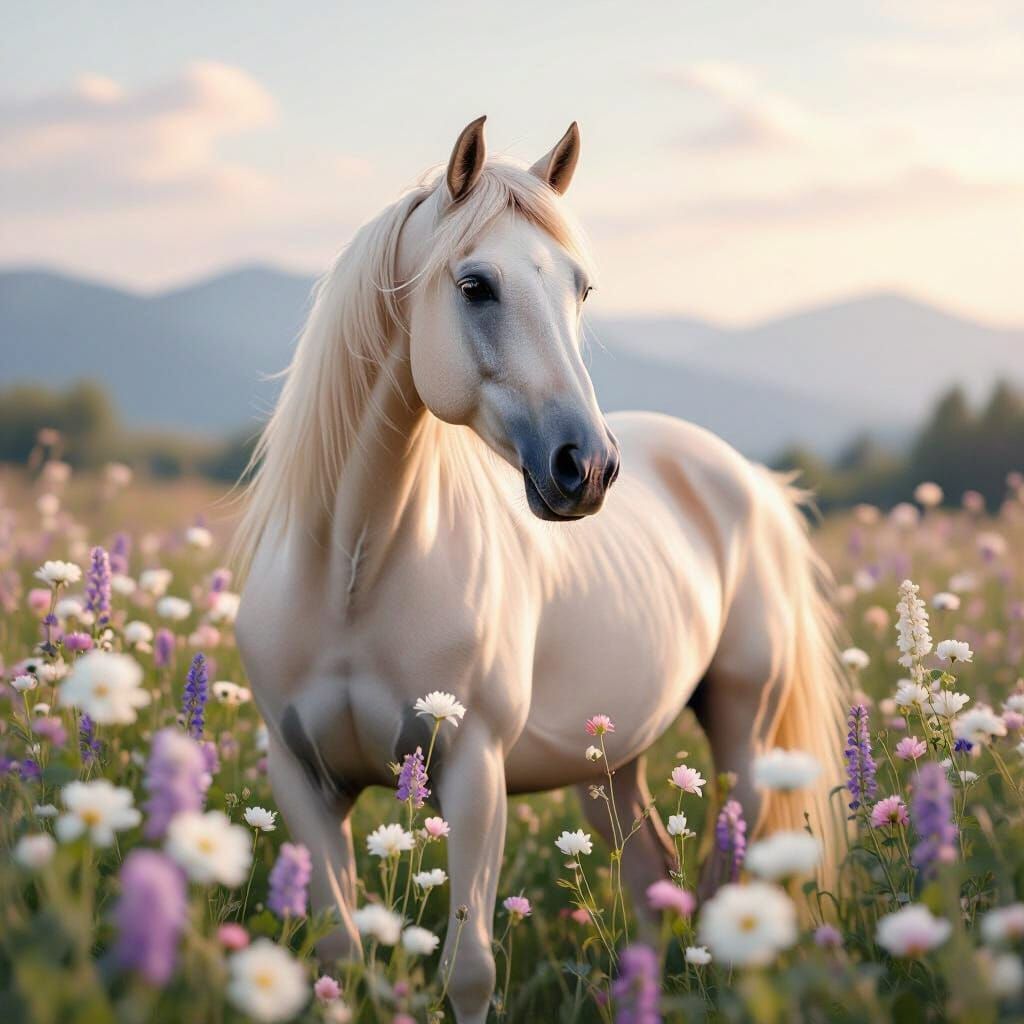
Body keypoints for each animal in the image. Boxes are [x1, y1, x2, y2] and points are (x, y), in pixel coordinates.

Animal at [235, 116, 846, 1023]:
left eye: (580, 289)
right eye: (475, 285)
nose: (586, 467)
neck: (353, 572)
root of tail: (752, 482)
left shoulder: (472, 775)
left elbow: (469, 969)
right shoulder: (303, 781)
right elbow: (339, 954)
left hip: (744, 731)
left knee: (722, 884)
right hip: (610, 760)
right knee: (653, 878)